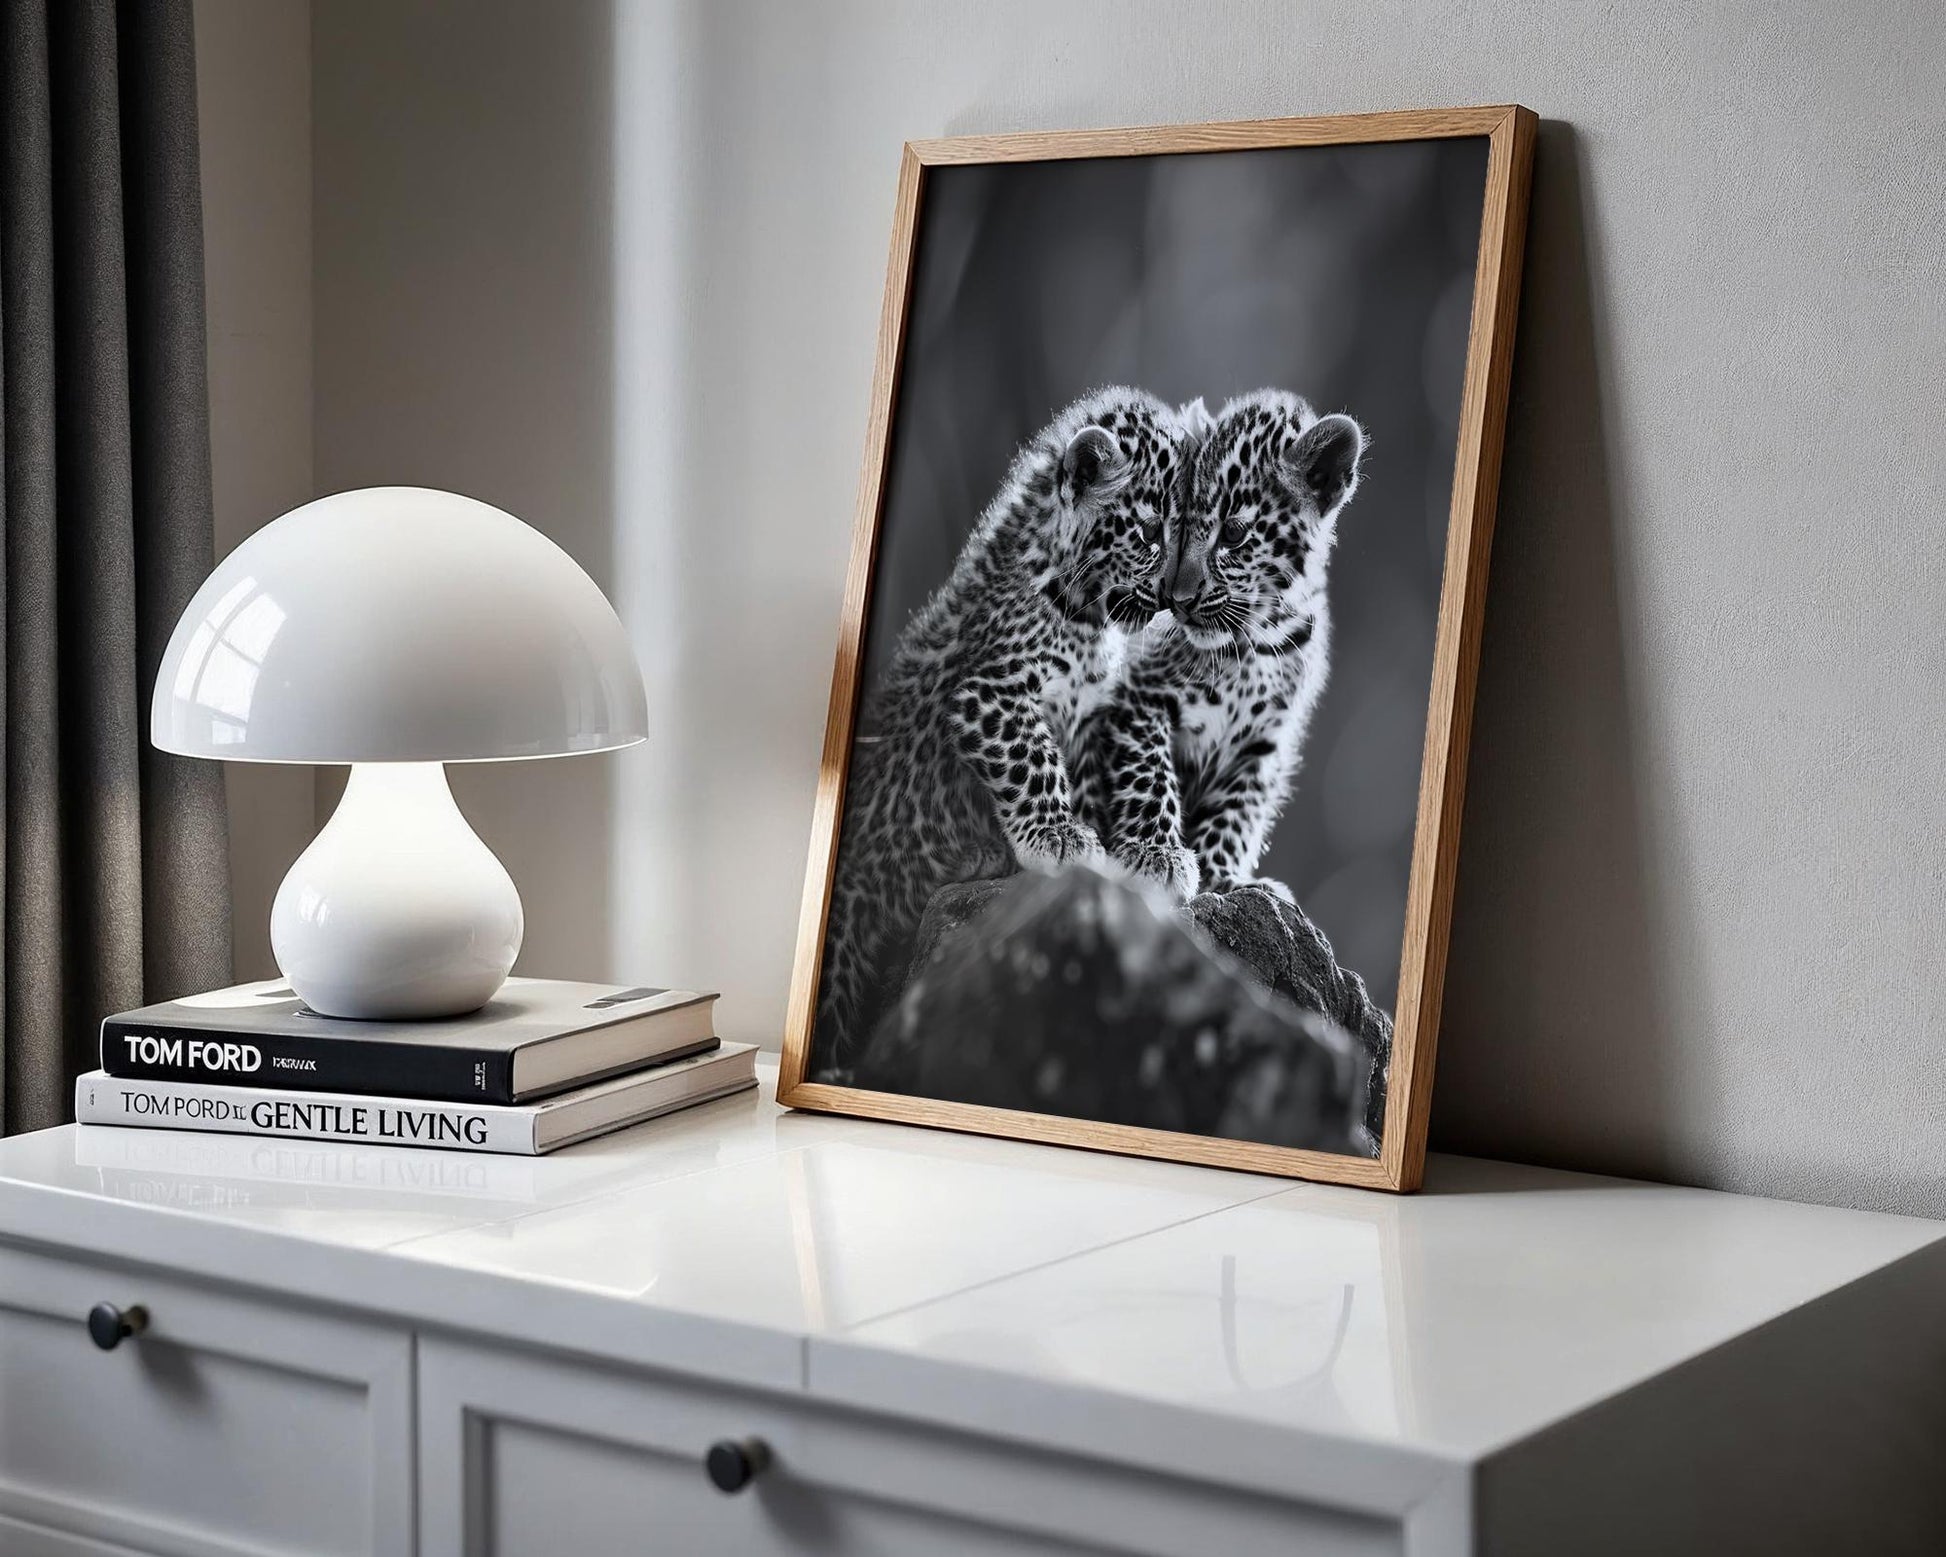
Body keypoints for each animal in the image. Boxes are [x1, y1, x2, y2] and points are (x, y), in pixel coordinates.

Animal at [811, 387, 1200, 1068]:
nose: (1175, 600)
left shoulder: (1105, 712)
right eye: (1152, 533)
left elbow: (1147, 772)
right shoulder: (989, 695)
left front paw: (1154, 852)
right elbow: (1034, 758)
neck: (1085, 614)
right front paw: (1059, 839)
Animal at [1081, 388, 1366, 900]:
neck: (1256, 642)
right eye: (1168, 532)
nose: (1178, 600)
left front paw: (1223, 877)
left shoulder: (1264, 743)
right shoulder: (1137, 698)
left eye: (1233, 533)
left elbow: (1238, 810)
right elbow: (1149, 773)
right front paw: (1157, 855)